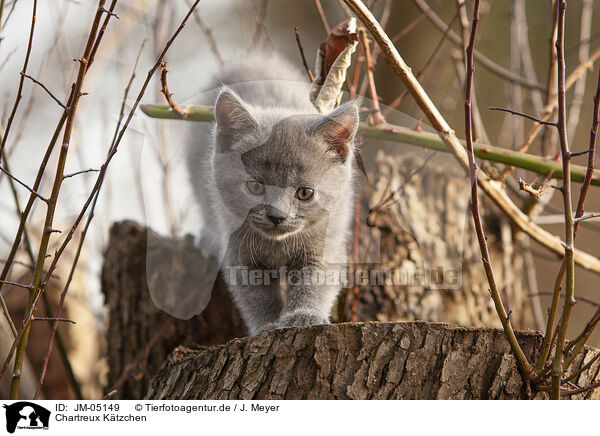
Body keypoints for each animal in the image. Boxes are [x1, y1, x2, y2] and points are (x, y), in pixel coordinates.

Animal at [185, 52, 358, 336]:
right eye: (255, 187)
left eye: (305, 193)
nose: (277, 216)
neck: (278, 244)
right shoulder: (239, 251)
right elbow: (256, 294)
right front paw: (267, 326)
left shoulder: (326, 239)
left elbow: (315, 281)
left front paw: (303, 315)